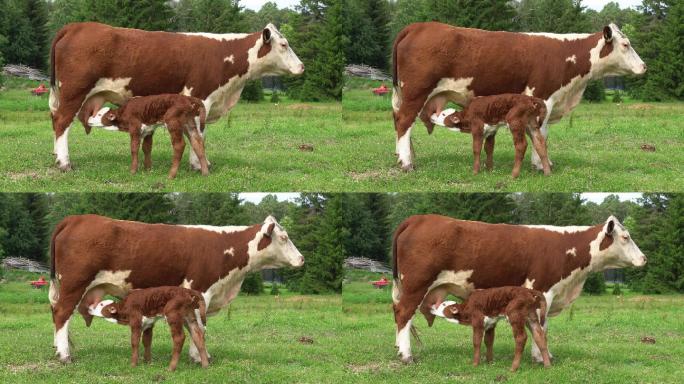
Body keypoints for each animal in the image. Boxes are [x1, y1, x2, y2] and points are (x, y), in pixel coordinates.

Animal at [48, 21, 304, 171]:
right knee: (62, 122)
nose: (302, 66)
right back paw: (65, 163)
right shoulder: (200, 97)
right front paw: (198, 165)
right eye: (284, 44)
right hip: (74, 91)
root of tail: (77, 26)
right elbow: (198, 135)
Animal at [48, 216, 304, 364]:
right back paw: (64, 355)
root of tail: (76, 218)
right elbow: (199, 327)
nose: (302, 259)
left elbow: (194, 326)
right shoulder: (200, 290)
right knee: (62, 314)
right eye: (284, 237)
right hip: (74, 283)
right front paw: (199, 357)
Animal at [390, 21, 648, 170]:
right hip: (416, 91)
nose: (644, 66)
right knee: (404, 121)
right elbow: (540, 133)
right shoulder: (542, 97)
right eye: (625, 44)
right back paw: (406, 163)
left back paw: (407, 157)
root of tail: (419, 26)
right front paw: (540, 165)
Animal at [390, 214, 648, 364]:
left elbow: (543, 326)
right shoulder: (542, 290)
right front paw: (539, 357)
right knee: (404, 314)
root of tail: (419, 218)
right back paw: (406, 356)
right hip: (416, 284)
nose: (644, 259)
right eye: (626, 237)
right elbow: (540, 327)